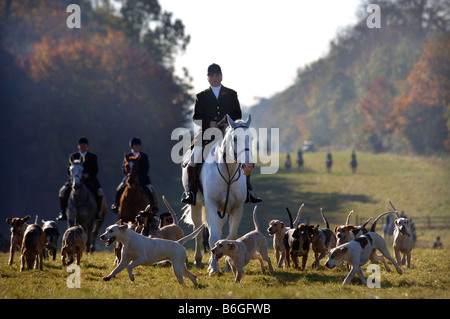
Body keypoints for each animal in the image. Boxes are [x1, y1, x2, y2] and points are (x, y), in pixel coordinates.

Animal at [182, 115, 253, 276]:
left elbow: (231, 237)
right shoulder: (211, 206)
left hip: (222, 211)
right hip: (196, 205)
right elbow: (212, 236)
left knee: (218, 231)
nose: (247, 166)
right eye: (235, 138)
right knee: (198, 230)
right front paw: (214, 268)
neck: (228, 173)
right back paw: (199, 261)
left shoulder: (237, 209)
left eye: (251, 138)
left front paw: (228, 266)